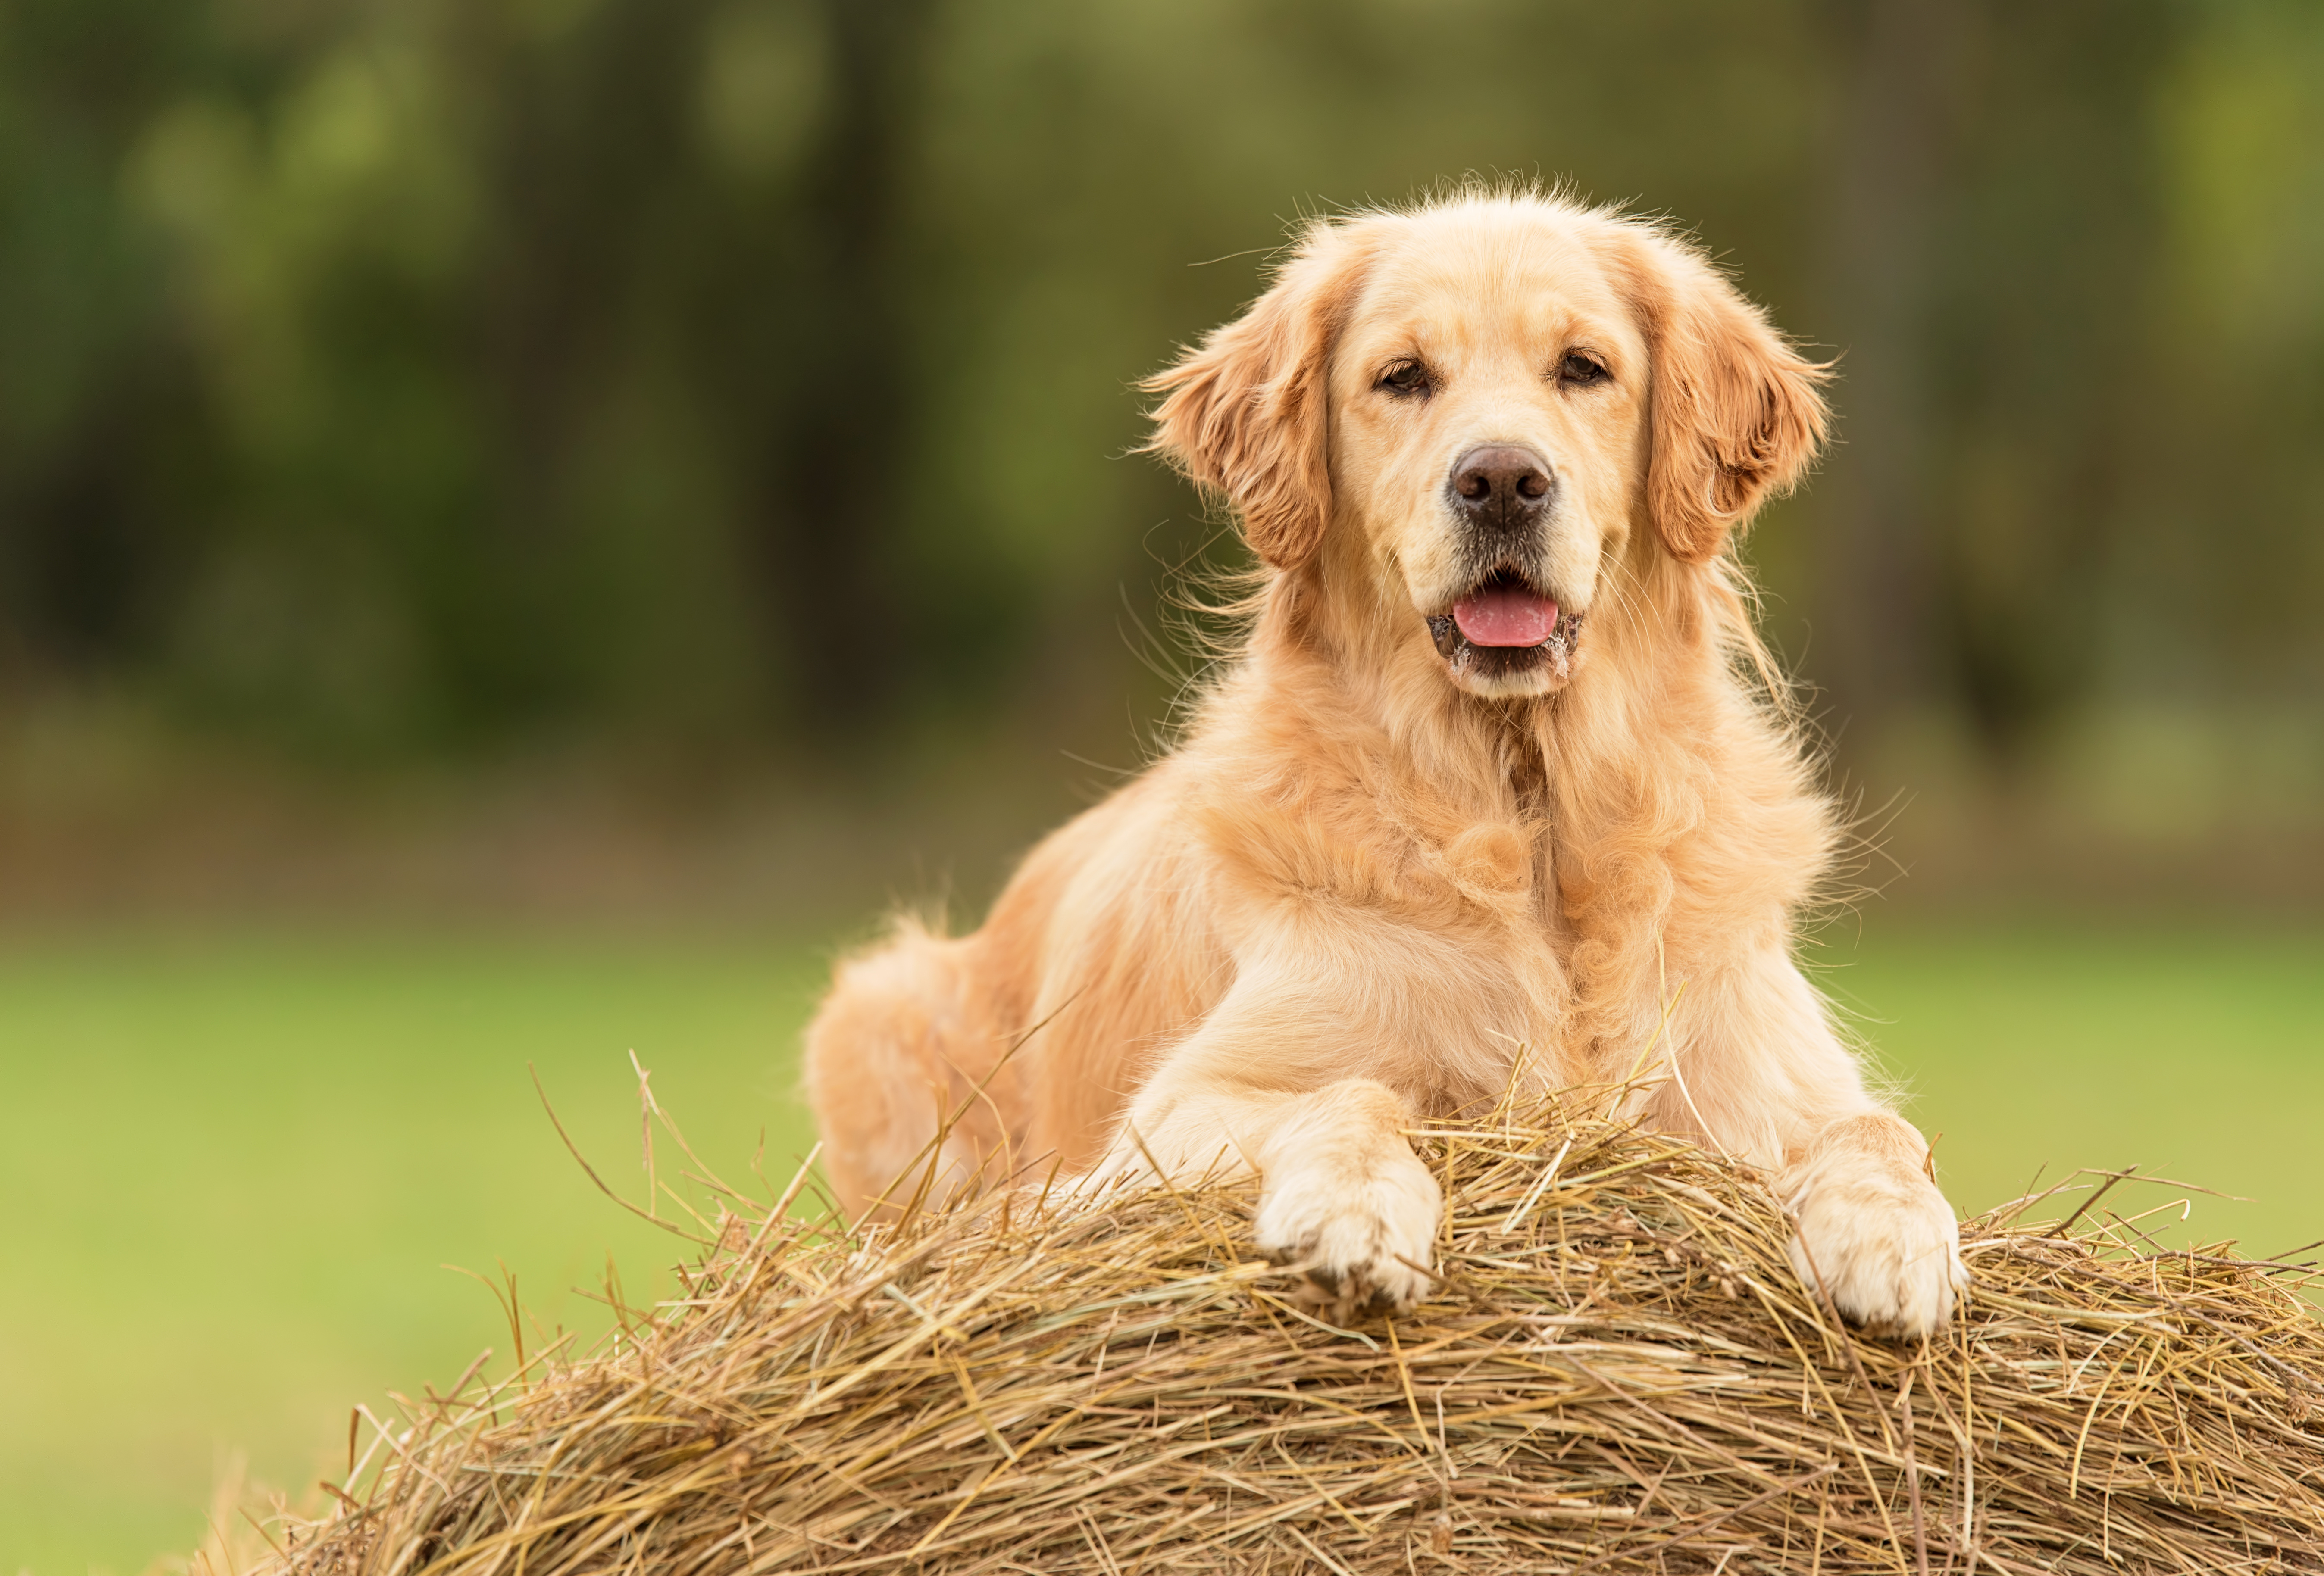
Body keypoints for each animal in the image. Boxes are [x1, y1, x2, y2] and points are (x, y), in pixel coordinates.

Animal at [799, 191, 1961, 1339]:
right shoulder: (1171, 1112)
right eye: (1401, 377)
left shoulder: (1765, 1083)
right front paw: (1352, 1210)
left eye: (1583, 367)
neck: (1528, 809)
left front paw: (1893, 1239)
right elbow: (1351, 1095)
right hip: (878, 1007)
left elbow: (1881, 1135)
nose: (1502, 480)